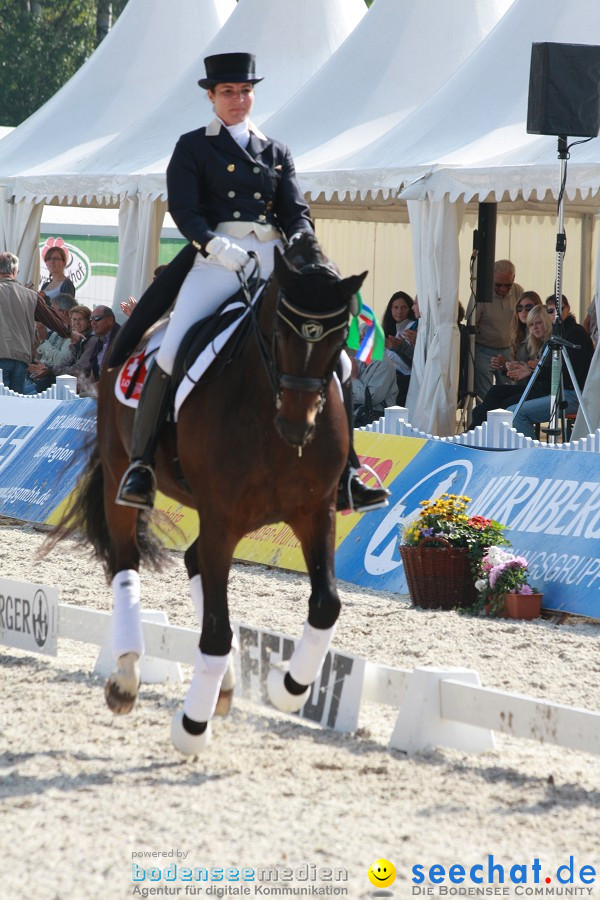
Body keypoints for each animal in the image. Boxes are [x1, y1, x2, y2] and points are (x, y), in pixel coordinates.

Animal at [51, 236, 368, 756]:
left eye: (339, 340)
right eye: (280, 332)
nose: (297, 426)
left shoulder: (315, 511)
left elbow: (326, 604)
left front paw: (289, 687)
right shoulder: (222, 518)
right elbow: (217, 632)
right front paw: (191, 725)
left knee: (192, 559)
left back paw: (222, 687)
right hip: (122, 476)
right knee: (125, 562)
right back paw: (127, 678)